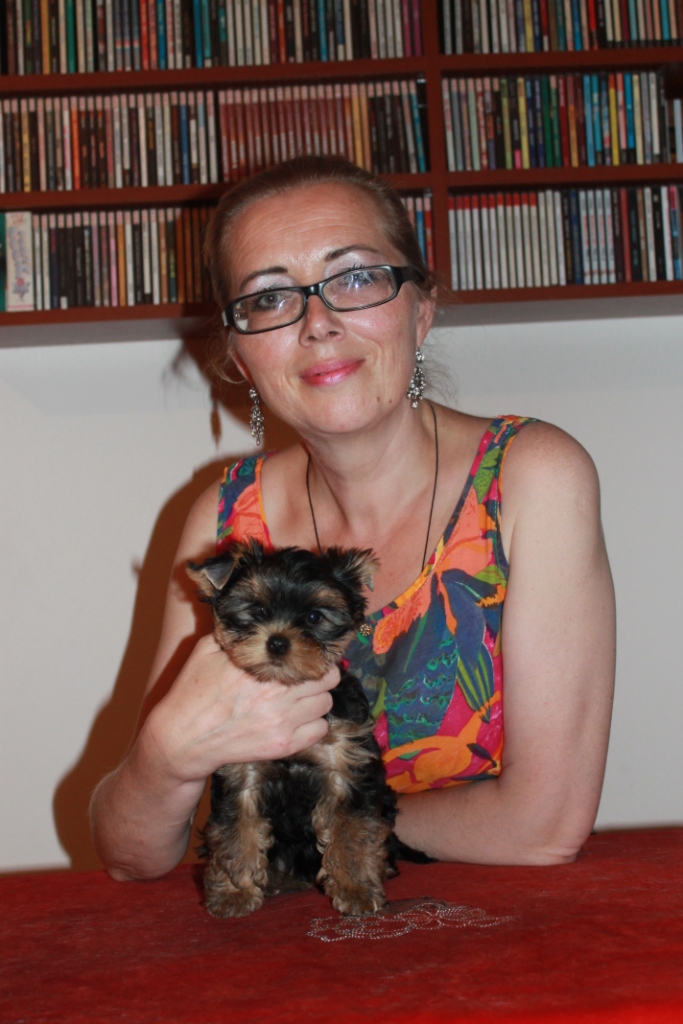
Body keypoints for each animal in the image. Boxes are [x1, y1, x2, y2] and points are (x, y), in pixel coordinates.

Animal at [187, 540, 400, 919]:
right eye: (257, 609)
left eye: (314, 617)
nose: (277, 642)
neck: (284, 688)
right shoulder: (241, 767)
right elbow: (236, 829)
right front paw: (235, 892)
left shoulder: (346, 766)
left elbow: (353, 829)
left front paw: (356, 888)